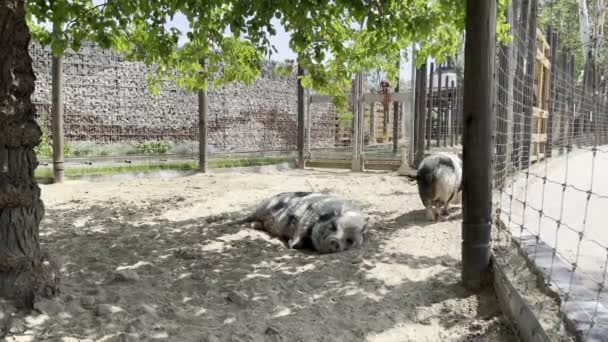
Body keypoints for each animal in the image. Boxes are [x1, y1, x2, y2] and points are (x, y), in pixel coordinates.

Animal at [235, 192, 368, 254]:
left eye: (349, 240)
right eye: (333, 226)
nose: (335, 242)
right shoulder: (306, 219)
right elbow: (298, 237)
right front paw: (291, 244)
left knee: (258, 224)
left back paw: (252, 226)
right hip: (262, 207)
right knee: (249, 216)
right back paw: (235, 223)